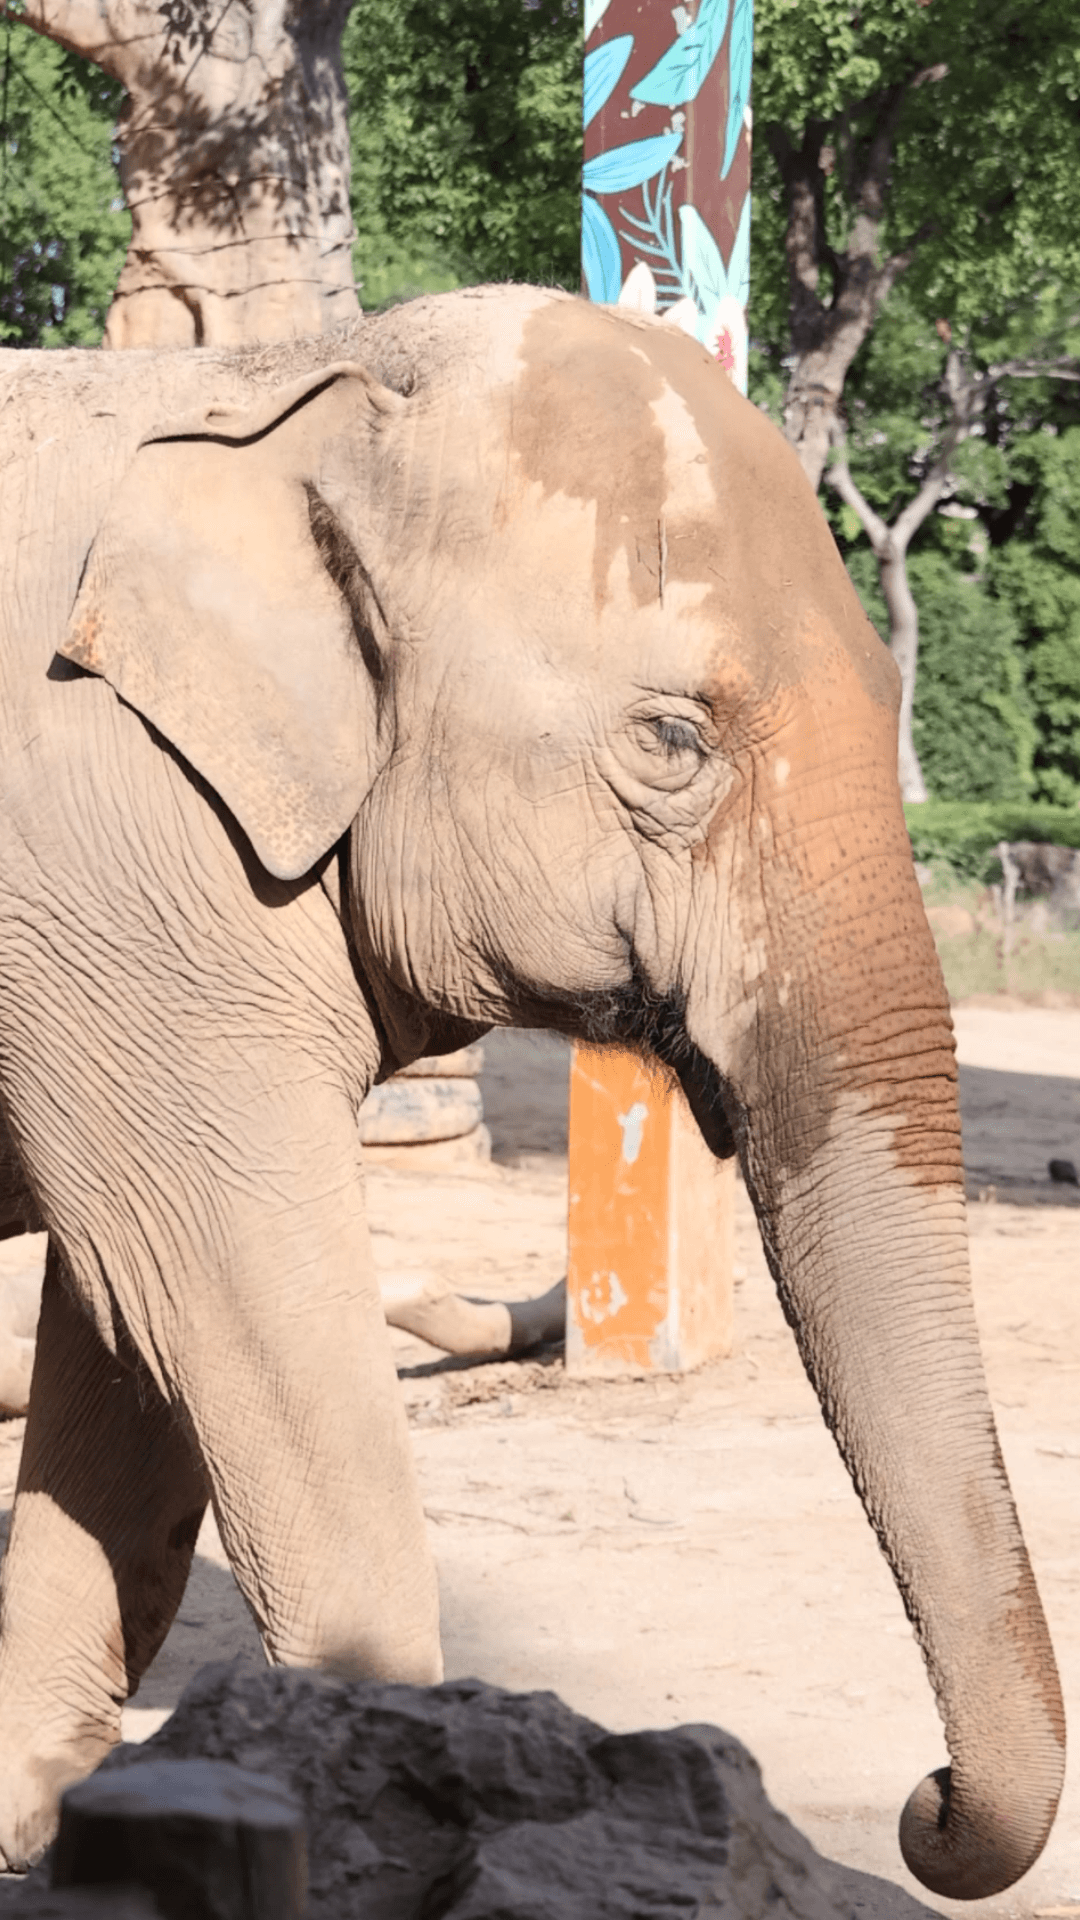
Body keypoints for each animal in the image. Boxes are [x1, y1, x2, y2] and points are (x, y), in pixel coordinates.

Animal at [0, 285, 1064, 1890]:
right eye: (674, 739)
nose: (926, 1802)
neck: (298, 391)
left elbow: (124, 1342)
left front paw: (48, 1813)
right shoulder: (112, 870)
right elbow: (223, 1302)